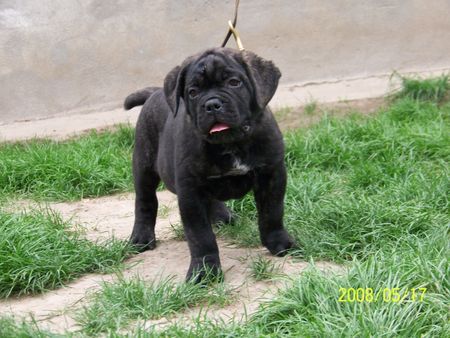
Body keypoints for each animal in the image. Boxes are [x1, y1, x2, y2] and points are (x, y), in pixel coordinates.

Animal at [124, 46, 296, 280]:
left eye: (234, 82)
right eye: (193, 92)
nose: (212, 104)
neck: (231, 143)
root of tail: (155, 93)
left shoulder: (272, 175)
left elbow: (272, 213)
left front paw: (280, 243)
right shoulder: (191, 191)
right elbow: (200, 235)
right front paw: (204, 270)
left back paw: (222, 215)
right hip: (144, 165)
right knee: (145, 201)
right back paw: (141, 237)